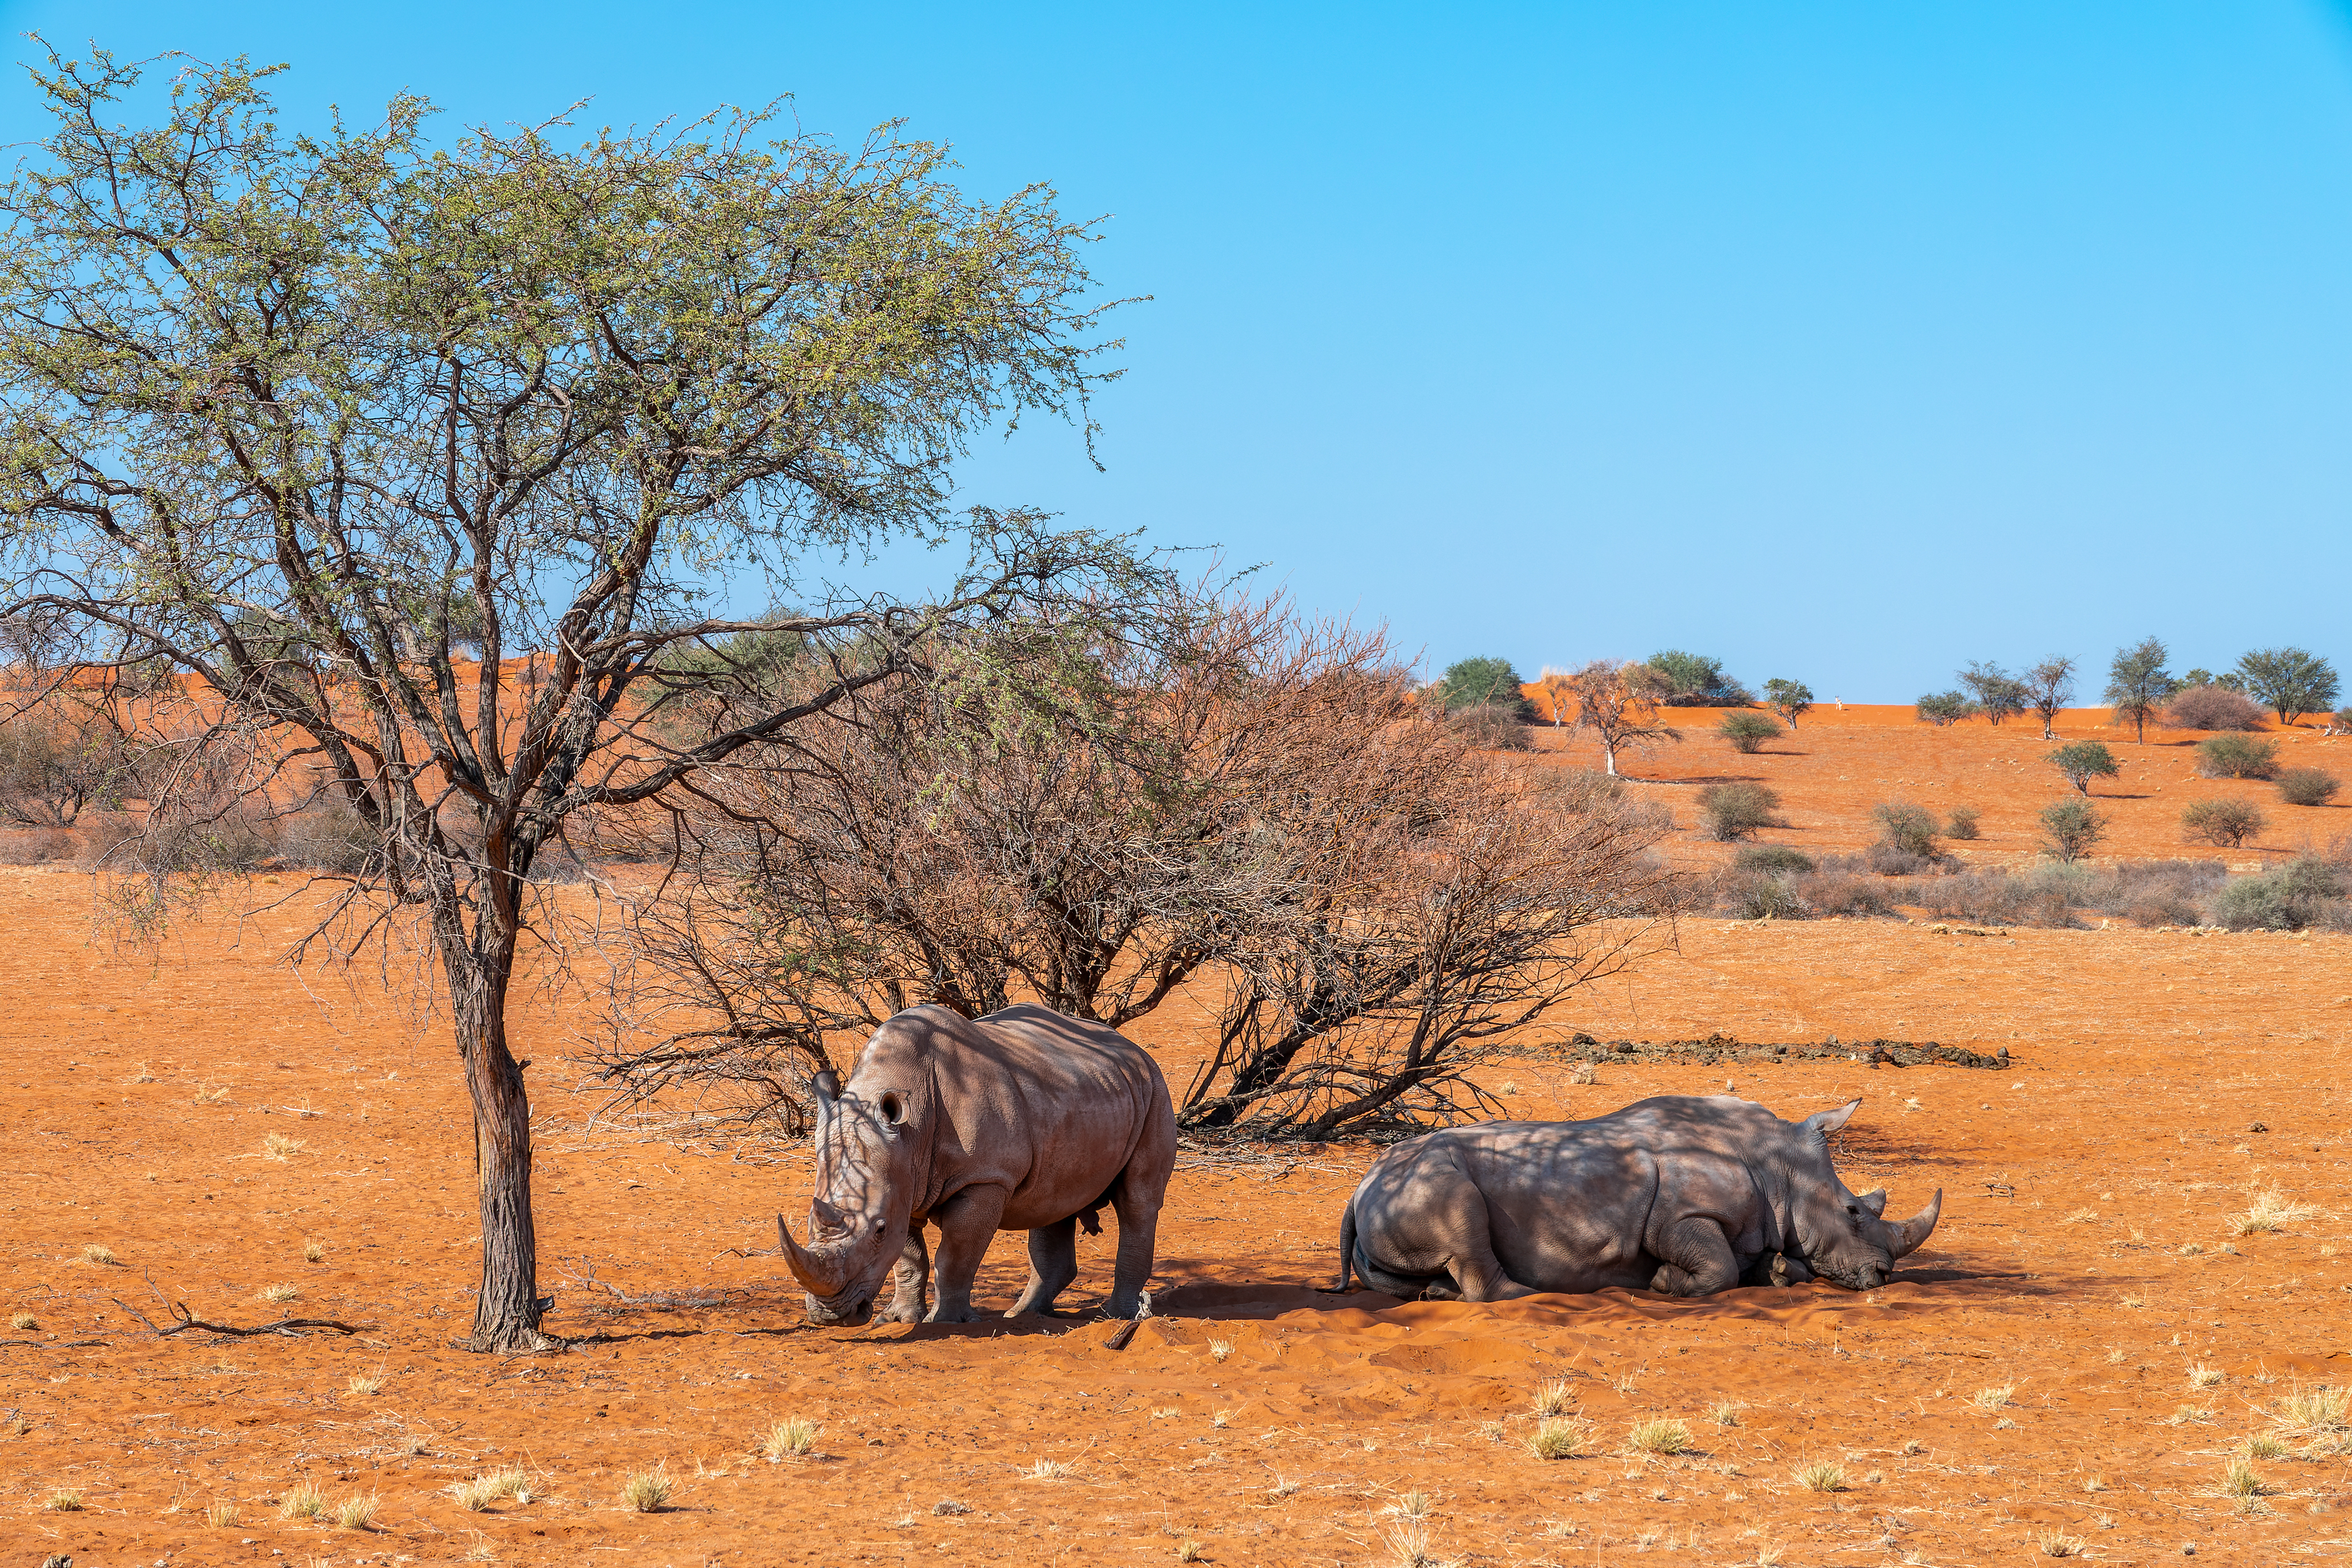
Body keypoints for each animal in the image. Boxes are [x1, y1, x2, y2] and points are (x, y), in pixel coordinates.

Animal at [778, 1003, 1177, 1326]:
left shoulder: (984, 1178)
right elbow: (910, 1256)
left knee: (1138, 1201)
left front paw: (945, 1321)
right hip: (1081, 1091)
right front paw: (898, 1319)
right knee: (1055, 1200)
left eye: (878, 1230)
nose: (831, 1314)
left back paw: (1116, 1316)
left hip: (1155, 1090)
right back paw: (1025, 1314)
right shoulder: (904, 1179)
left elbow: (955, 1254)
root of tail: (1133, 1048)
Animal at [1333, 1094, 1940, 1300]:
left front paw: (1773, 1273)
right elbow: (1715, 1267)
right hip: (1424, 1177)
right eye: (1853, 1212)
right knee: (1465, 1219)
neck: (1778, 1165)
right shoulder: (1678, 1216)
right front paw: (1663, 1283)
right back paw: (1533, 1294)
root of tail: (1359, 1187)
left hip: (1392, 1193)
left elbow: (1763, 1263)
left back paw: (1435, 1293)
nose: (1883, 1275)